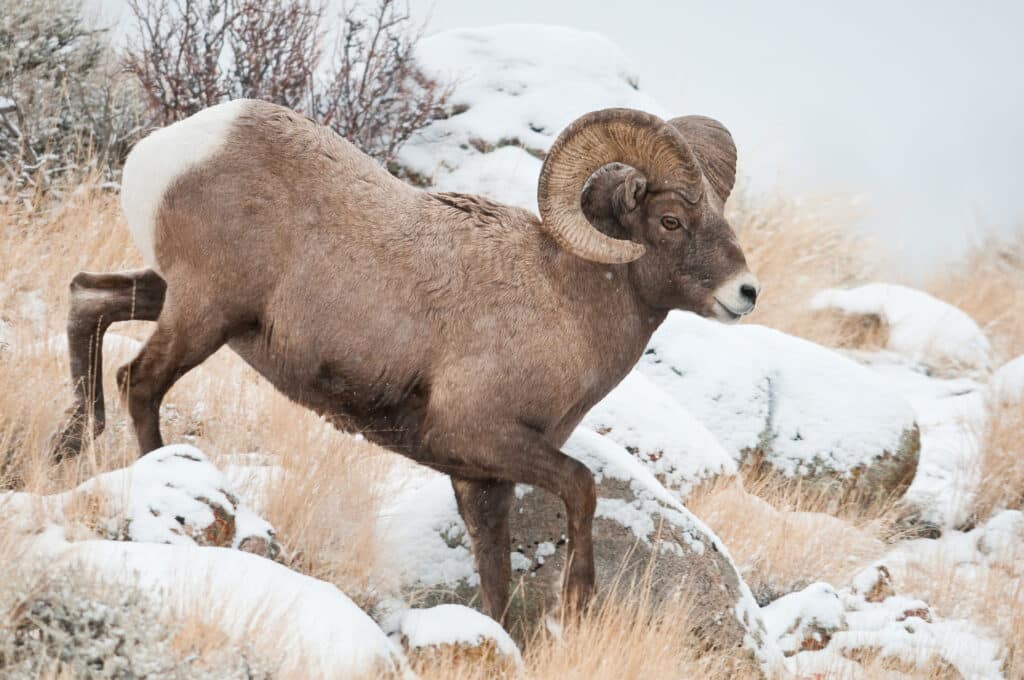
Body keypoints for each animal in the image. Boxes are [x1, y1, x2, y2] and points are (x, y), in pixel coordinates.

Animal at [52, 100, 759, 621]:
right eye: (670, 221)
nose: (745, 293)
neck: (564, 296)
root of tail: (168, 149)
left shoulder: (483, 479)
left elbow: (495, 579)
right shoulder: (479, 436)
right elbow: (583, 486)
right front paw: (578, 600)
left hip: (184, 300)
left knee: (88, 298)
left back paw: (70, 446)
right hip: (204, 313)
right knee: (141, 382)